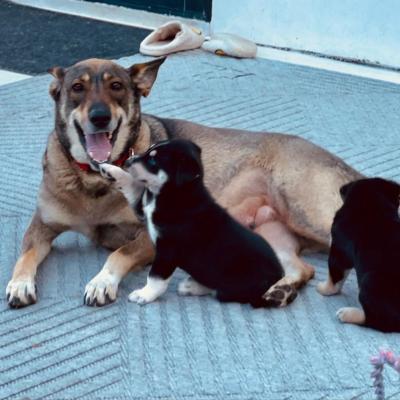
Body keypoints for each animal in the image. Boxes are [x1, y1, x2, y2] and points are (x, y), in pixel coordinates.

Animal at [101, 138, 286, 306]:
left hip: (238, 284)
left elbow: (156, 278)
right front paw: (111, 170)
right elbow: (132, 184)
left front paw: (145, 295)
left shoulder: (167, 250)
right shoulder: (142, 208)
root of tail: (279, 276)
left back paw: (192, 287)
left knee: (220, 291)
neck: (176, 193)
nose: (127, 161)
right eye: (148, 150)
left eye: (153, 160)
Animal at [318, 177, 400, 332]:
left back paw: (348, 314)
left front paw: (325, 289)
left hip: (370, 282)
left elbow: (334, 277)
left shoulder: (339, 252)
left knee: (378, 321)